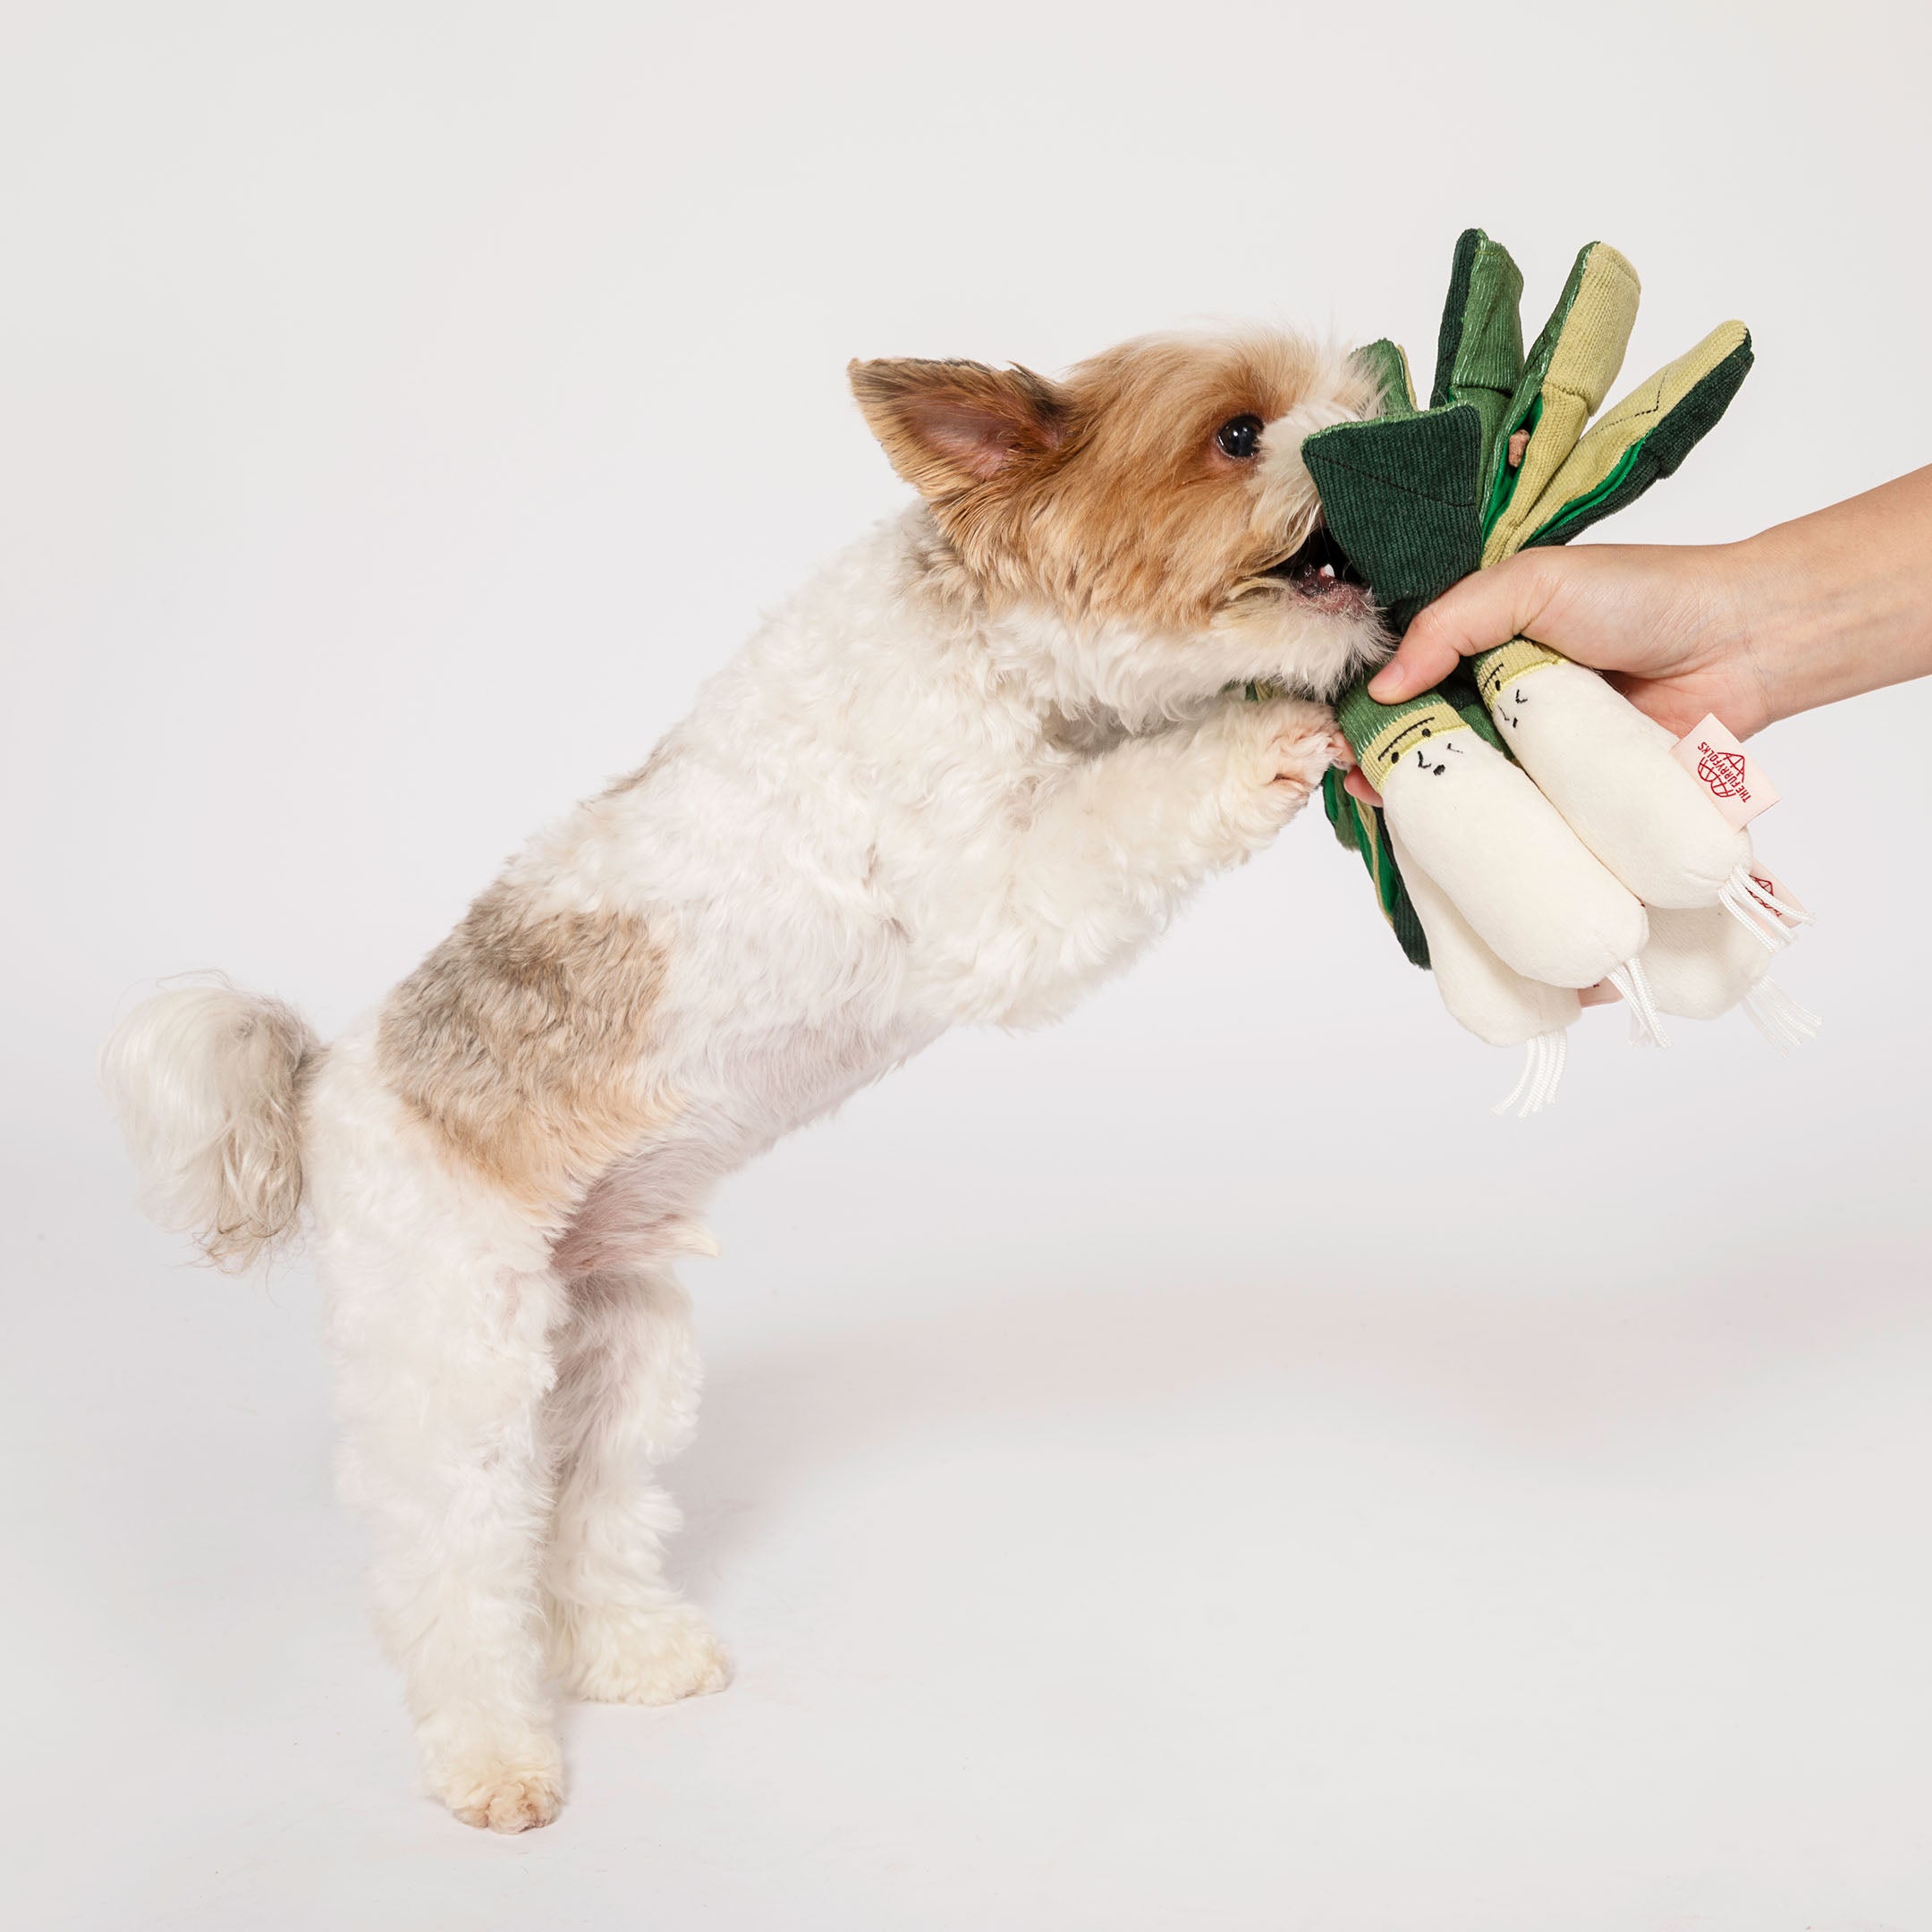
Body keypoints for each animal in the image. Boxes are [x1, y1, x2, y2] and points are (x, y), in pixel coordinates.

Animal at [101, 328, 1391, 1824]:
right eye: (1239, 433)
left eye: (1350, 388)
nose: (1369, 423)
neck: (989, 648)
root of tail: (324, 1086)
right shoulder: (993, 895)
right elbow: (1131, 808)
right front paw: (1267, 737)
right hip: (454, 1357)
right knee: (454, 1566)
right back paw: (490, 1750)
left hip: (623, 1360)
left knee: (583, 1519)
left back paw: (624, 1652)